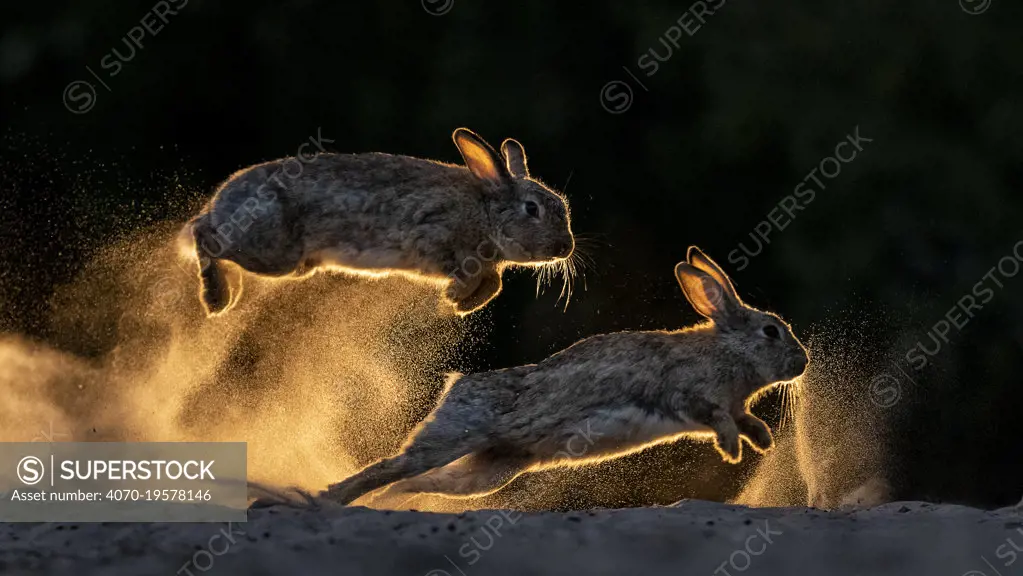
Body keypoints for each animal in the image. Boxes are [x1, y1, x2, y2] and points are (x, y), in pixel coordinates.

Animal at [178, 127, 576, 315]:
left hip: (294, 265)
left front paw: (461, 305)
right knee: (204, 234)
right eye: (531, 209)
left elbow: (493, 283)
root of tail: (219, 202)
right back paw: (216, 298)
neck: (485, 211)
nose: (565, 247)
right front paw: (455, 296)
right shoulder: (434, 236)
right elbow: (476, 276)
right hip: (274, 252)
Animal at [323, 247, 810, 505]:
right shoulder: (691, 395)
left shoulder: (733, 404)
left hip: (492, 470)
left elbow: (744, 419)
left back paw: (388, 502)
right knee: (394, 466)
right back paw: (333, 497)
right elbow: (717, 418)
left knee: (423, 482)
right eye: (770, 331)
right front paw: (732, 451)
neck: (726, 350)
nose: (802, 362)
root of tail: (455, 385)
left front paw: (763, 442)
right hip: (453, 437)